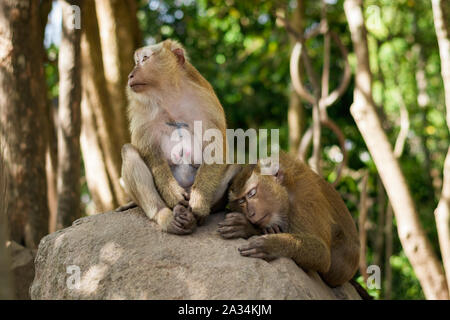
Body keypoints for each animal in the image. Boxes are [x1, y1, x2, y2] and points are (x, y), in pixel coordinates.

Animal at [121, 39, 237, 235]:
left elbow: (216, 147)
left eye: (144, 59)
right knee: (128, 151)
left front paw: (199, 202)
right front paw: (172, 194)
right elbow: (149, 152)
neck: (169, 95)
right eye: (137, 61)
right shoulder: (140, 110)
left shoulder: (207, 101)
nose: (130, 75)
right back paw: (167, 216)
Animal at [218, 152, 358, 288]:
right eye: (241, 201)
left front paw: (270, 245)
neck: (287, 188)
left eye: (252, 193)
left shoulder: (305, 199)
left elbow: (323, 254)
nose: (251, 214)